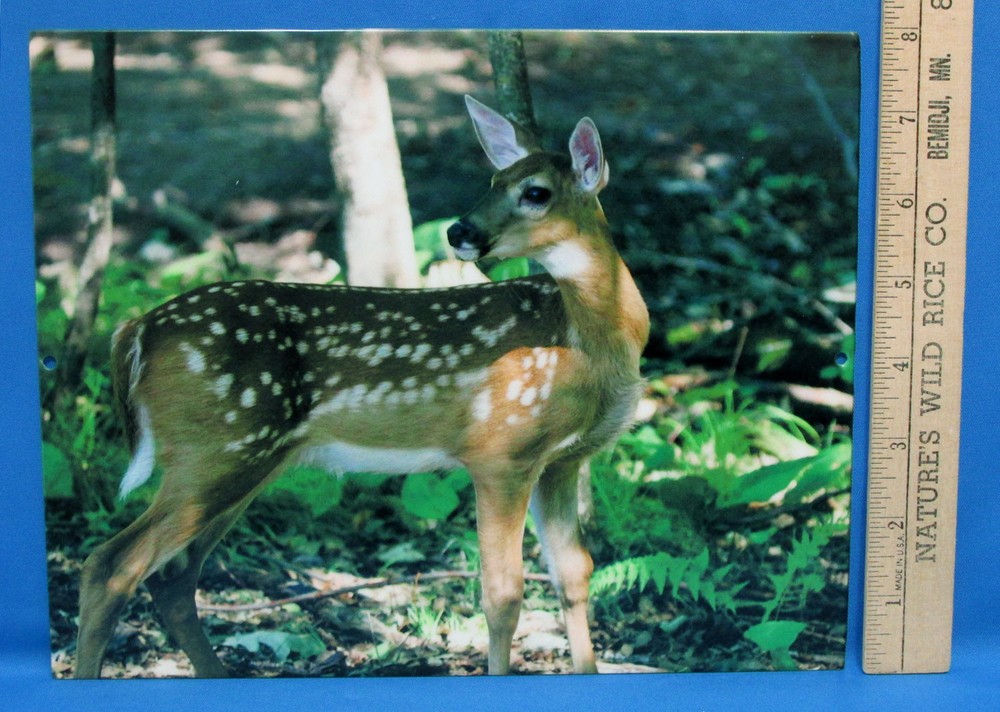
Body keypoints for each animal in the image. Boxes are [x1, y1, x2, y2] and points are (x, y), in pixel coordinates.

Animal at [74, 95, 650, 678]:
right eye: (493, 180)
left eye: (535, 192)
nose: (458, 231)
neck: (586, 342)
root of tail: (134, 332)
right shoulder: (500, 450)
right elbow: (502, 595)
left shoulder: (563, 460)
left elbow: (574, 575)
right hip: (214, 449)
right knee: (111, 565)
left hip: (244, 461)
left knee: (171, 579)